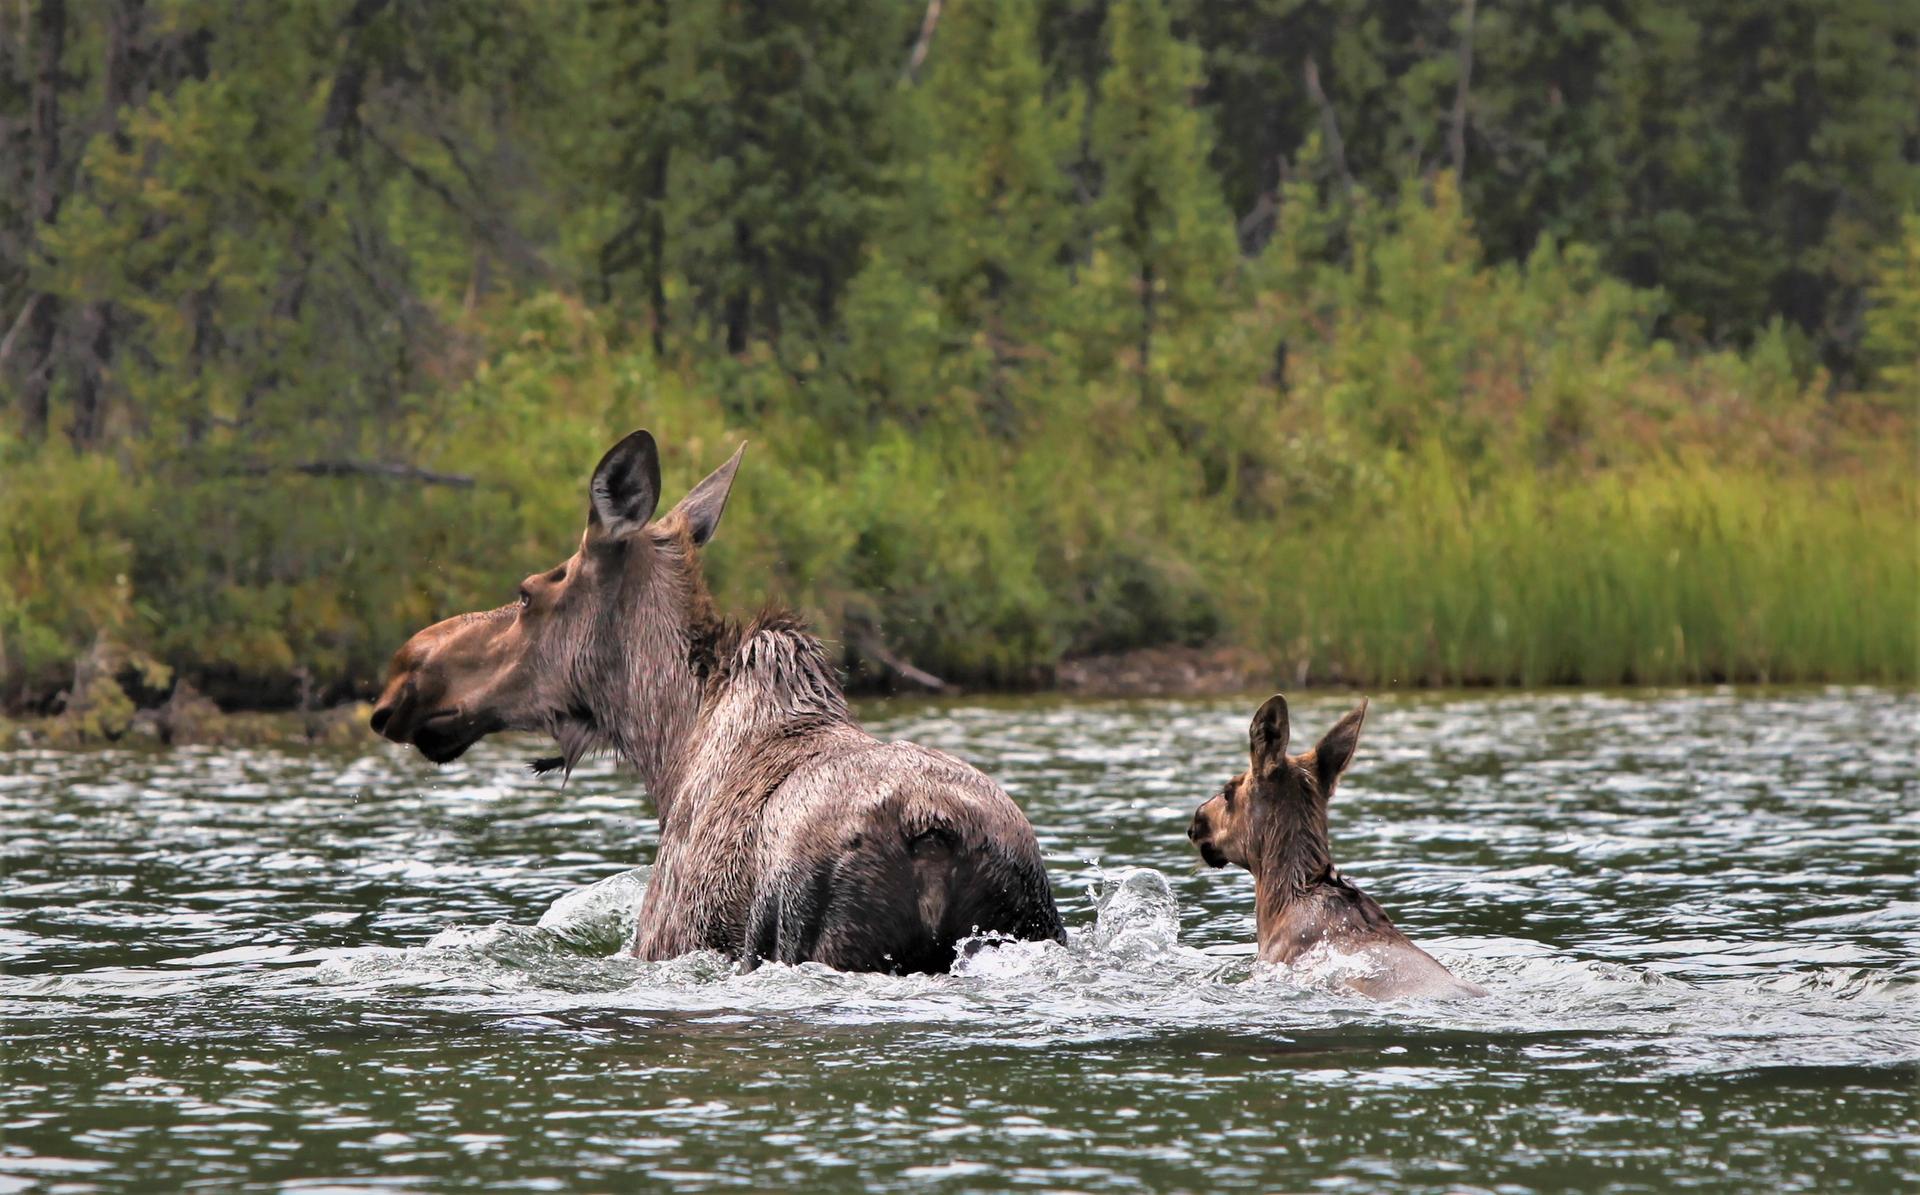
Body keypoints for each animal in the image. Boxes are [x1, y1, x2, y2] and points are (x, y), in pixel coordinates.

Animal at [370, 430, 1065, 973]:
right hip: (1029, 924)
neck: (668, 750)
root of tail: (936, 832)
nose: (405, 675)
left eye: (527, 592)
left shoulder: (665, 937)